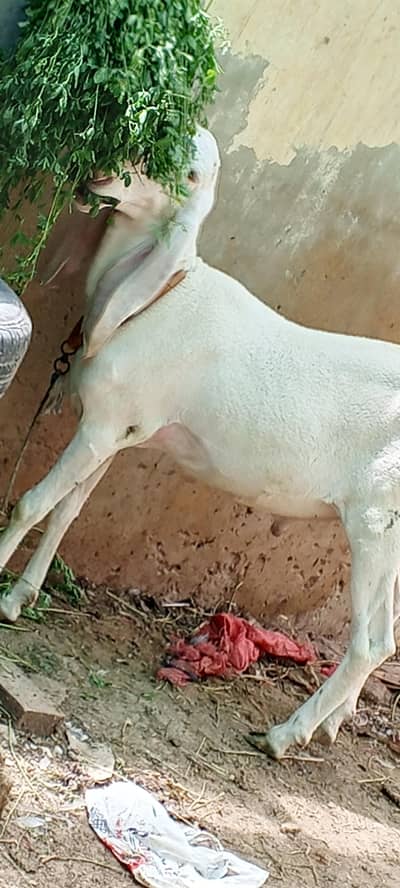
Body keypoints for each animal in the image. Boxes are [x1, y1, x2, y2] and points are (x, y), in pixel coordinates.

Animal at [0, 125, 399, 760]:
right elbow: (66, 513)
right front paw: (22, 598)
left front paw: (0, 598)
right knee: (386, 637)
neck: (163, 292)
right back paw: (335, 722)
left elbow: (34, 502)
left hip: (373, 521)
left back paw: (285, 735)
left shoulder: (101, 426)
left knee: (371, 642)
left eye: (188, 174)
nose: (99, 176)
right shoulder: (121, 431)